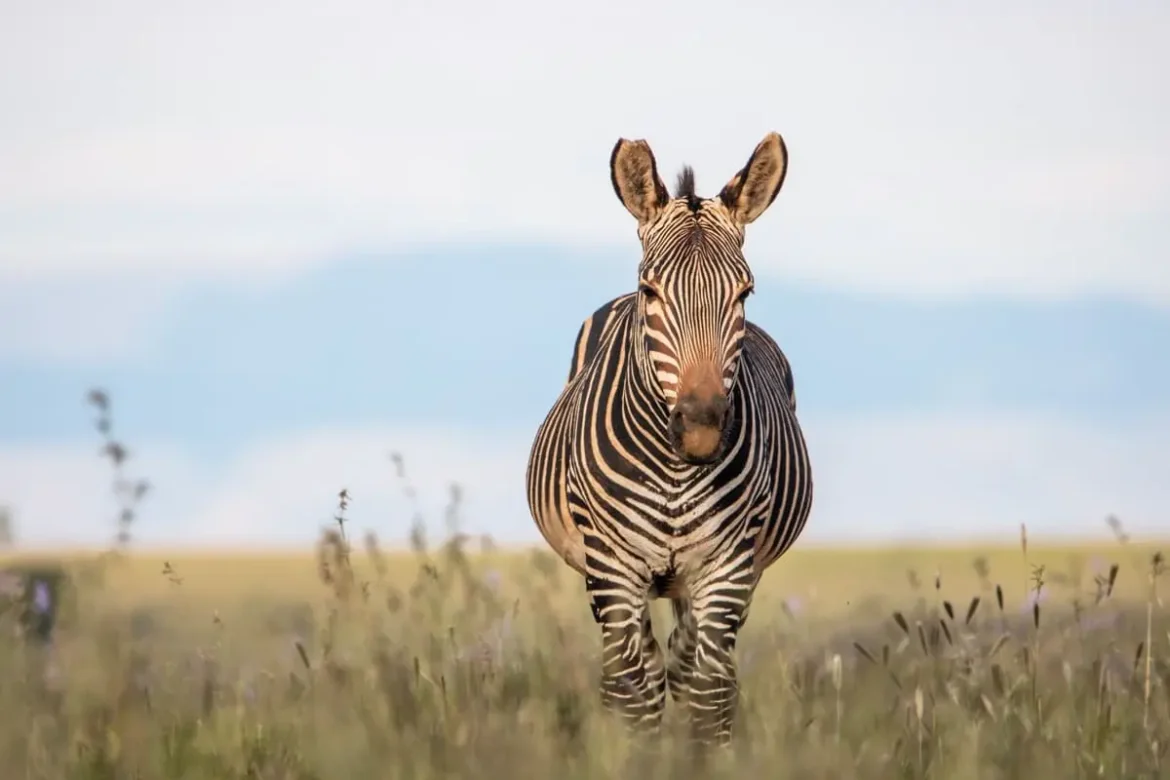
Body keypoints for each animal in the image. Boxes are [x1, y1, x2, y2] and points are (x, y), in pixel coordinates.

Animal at [525, 132, 814, 745]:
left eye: (745, 293)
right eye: (650, 290)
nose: (701, 428)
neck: (677, 471)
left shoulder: (728, 567)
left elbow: (708, 694)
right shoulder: (612, 565)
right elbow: (634, 695)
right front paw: (636, 752)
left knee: (685, 663)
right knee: (635, 670)